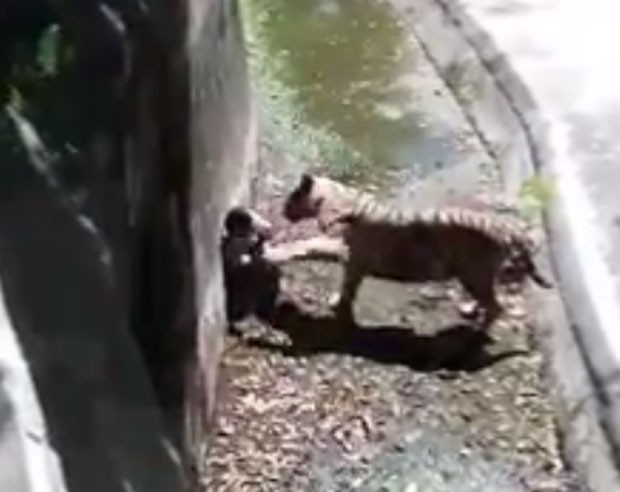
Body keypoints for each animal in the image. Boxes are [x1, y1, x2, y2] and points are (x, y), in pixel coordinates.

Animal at [282, 173, 552, 330]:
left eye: (291, 197)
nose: (283, 210)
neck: (346, 203)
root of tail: (507, 228)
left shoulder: (354, 258)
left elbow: (346, 283)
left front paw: (339, 303)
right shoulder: (350, 256)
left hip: (474, 272)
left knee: (496, 307)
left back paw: (478, 330)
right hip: (476, 275)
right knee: (489, 300)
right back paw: (472, 310)